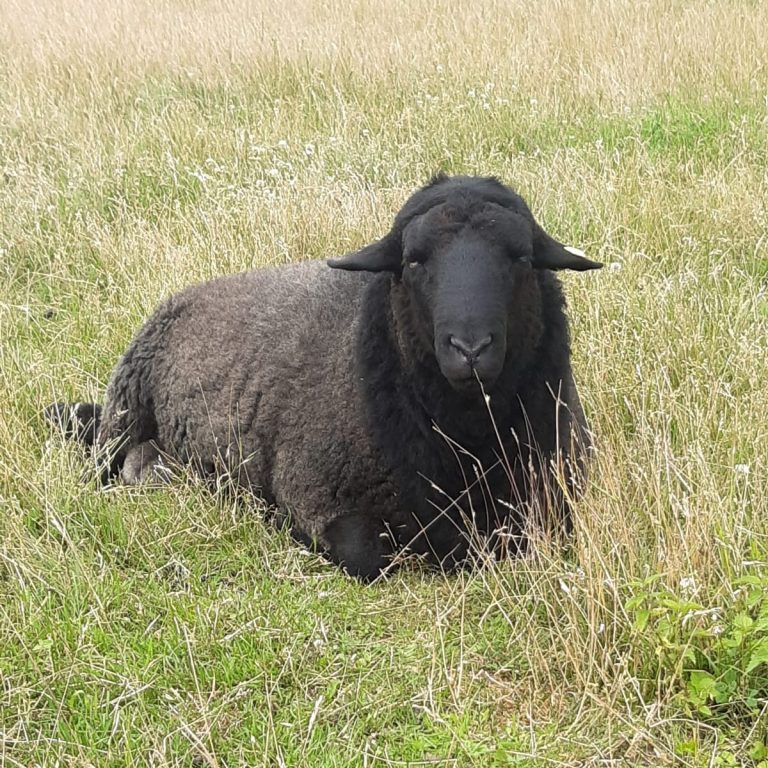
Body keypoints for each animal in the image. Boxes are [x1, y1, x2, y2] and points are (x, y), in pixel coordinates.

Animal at [46, 174, 602, 580]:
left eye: (522, 257)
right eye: (413, 260)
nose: (470, 349)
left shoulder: (558, 494)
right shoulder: (315, 494)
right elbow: (366, 554)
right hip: (122, 416)